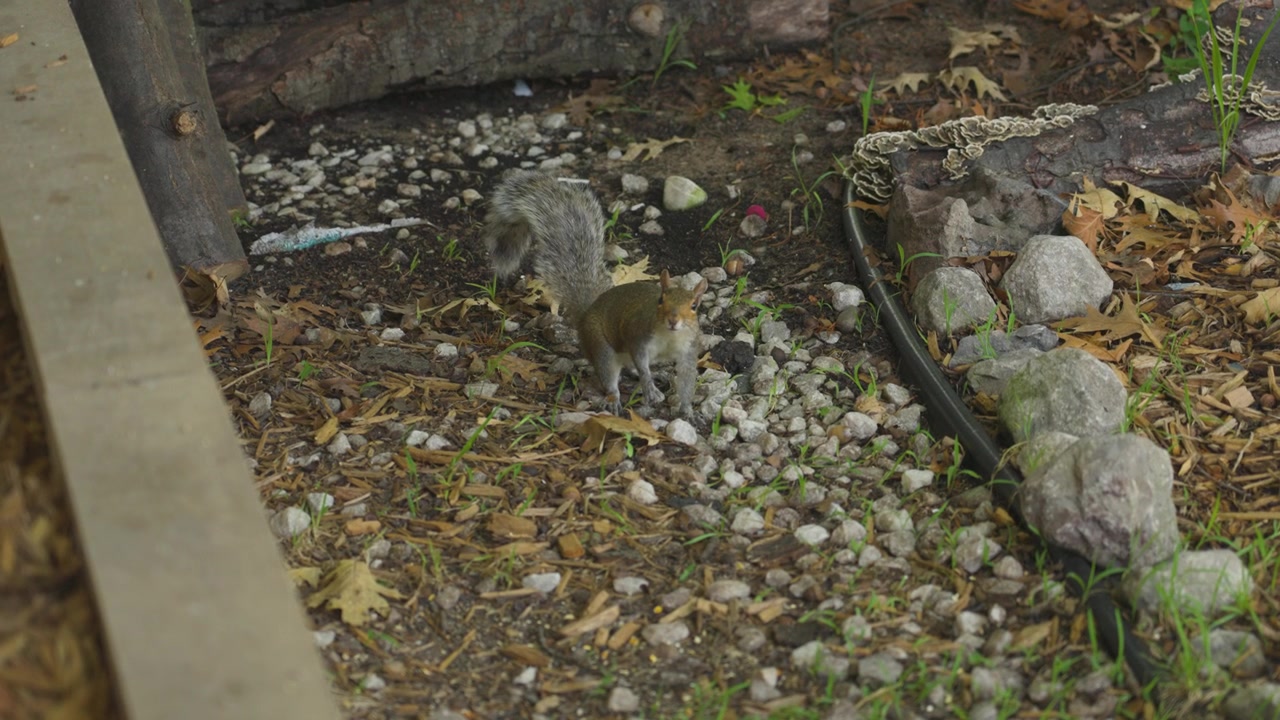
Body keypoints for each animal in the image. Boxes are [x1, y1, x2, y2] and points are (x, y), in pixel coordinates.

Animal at [482, 169, 707, 416]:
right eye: (661, 300)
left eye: (694, 306)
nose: (673, 320)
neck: (670, 336)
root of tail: (587, 312)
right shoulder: (638, 335)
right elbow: (641, 362)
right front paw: (650, 389)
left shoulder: (689, 350)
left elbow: (686, 379)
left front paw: (688, 411)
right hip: (601, 346)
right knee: (611, 373)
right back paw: (614, 398)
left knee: (629, 367)